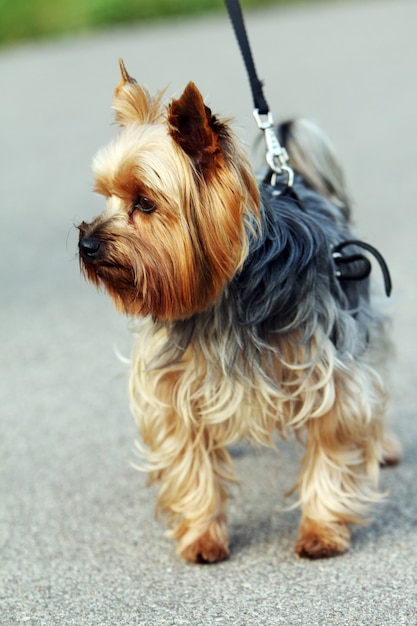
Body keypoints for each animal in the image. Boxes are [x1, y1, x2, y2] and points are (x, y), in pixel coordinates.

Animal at [78, 59, 400, 560]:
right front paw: (201, 535)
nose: (86, 245)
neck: (221, 298)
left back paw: (383, 445)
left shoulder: (329, 371)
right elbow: (190, 461)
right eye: (106, 196)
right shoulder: (173, 386)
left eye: (144, 203)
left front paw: (322, 530)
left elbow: (335, 443)